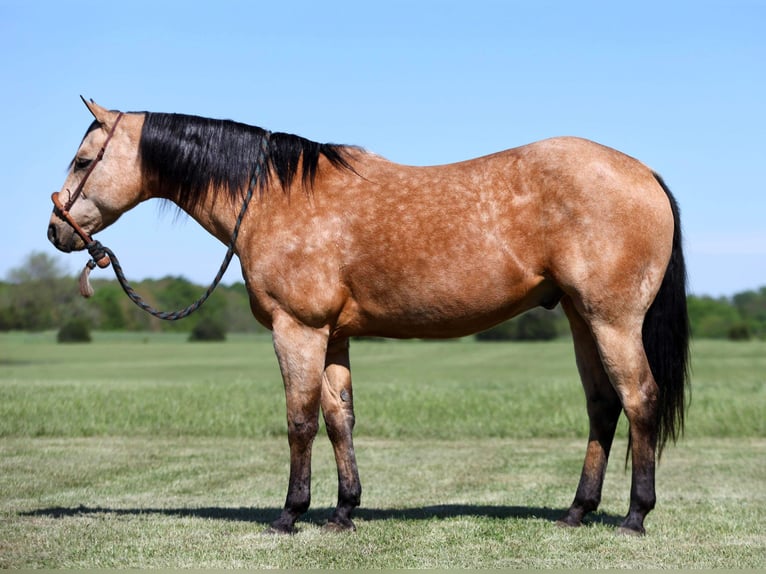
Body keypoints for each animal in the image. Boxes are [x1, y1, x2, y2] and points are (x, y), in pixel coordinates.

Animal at [49, 99, 696, 536]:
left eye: (82, 159)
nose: (57, 230)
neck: (278, 197)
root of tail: (643, 172)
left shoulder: (297, 330)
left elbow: (300, 421)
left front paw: (290, 514)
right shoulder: (333, 338)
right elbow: (341, 420)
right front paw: (343, 511)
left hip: (612, 320)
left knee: (638, 399)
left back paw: (634, 516)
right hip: (582, 320)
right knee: (602, 406)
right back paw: (577, 511)